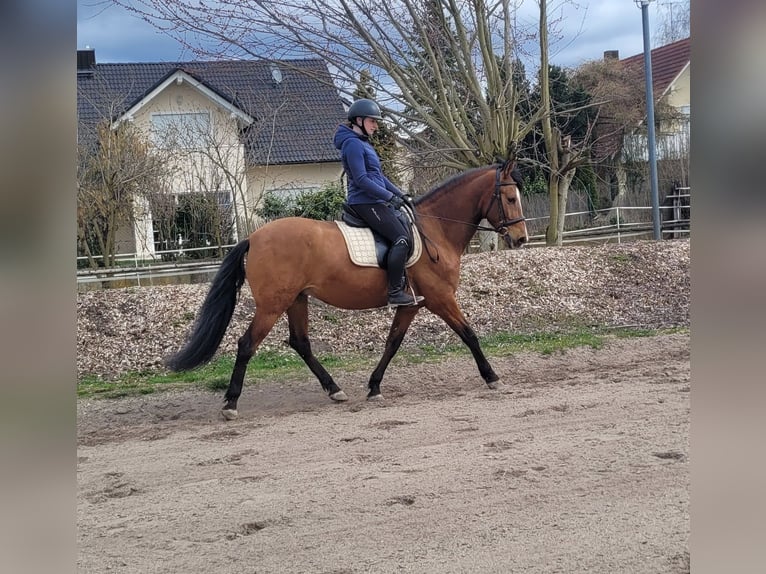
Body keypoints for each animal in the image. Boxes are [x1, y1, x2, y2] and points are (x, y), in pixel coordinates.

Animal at [167, 159, 528, 420]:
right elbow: (469, 335)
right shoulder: (441, 299)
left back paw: (334, 389)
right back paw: (230, 404)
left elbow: (392, 343)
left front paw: (374, 386)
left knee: (300, 343)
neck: (436, 230)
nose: (521, 238)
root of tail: (253, 237)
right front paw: (492, 376)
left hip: (296, 300)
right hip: (272, 305)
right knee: (246, 345)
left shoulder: (411, 304)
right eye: (510, 198)